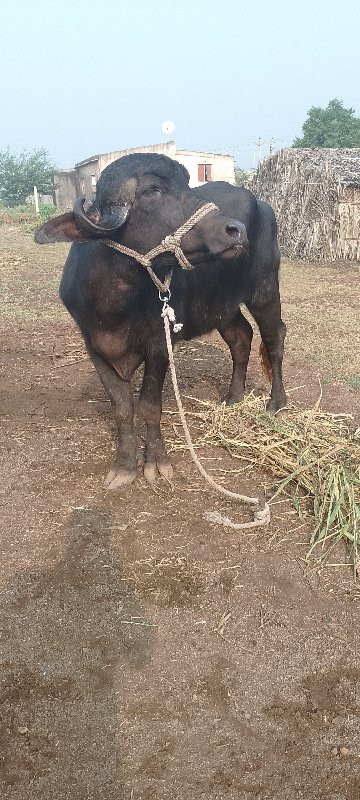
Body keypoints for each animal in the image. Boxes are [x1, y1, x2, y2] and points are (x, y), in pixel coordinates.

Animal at [35, 151, 286, 488]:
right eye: (152, 191)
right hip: (221, 304)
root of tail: (262, 206)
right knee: (240, 337)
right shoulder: (95, 348)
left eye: (186, 185)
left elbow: (149, 406)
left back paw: (276, 403)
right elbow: (122, 408)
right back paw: (233, 396)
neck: (114, 306)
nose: (236, 230)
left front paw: (156, 462)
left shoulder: (159, 345)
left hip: (265, 289)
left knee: (274, 339)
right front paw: (125, 466)